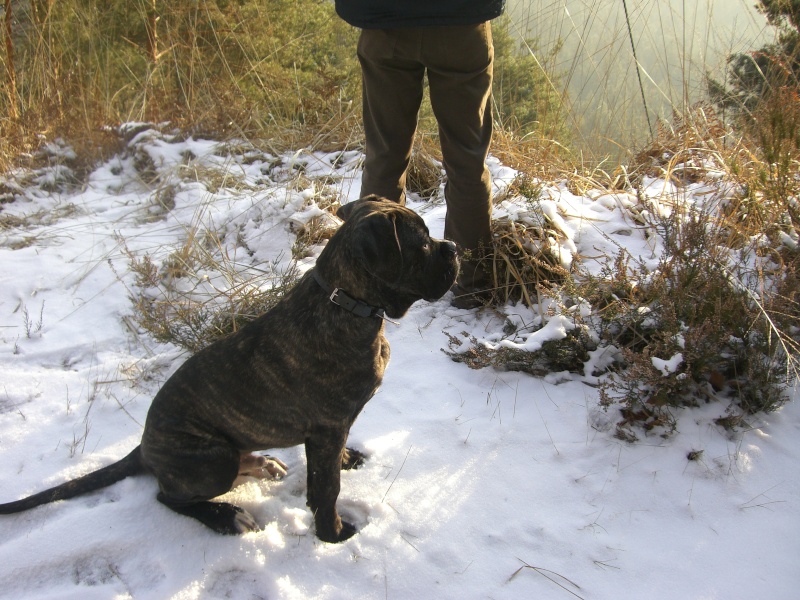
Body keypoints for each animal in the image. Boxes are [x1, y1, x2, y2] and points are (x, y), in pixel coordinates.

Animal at [0, 196, 460, 544]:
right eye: (421, 244)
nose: (454, 246)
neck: (344, 301)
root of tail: (144, 446)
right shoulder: (328, 428)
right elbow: (326, 488)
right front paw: (333, 534)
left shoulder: (332, 430)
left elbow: (329, 466)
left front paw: (347, 462)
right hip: (212, 459)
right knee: (169, 498)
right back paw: (227, 516)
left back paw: (261, 464)